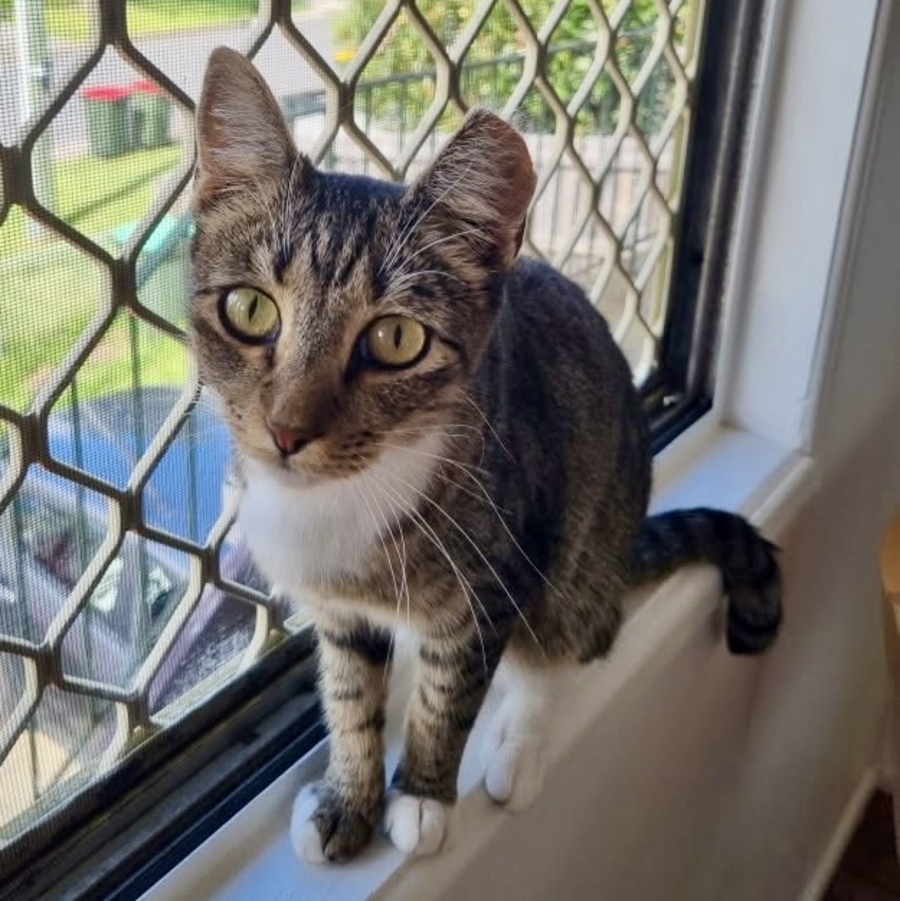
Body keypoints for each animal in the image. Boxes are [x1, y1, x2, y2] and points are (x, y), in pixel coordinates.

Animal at [189, 46, 782, 864]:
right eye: (249, 309)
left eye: (396, 339)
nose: (285, 430)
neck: (342, 500)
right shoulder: (339, 611)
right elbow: (348, 690)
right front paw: (348, 795)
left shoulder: (495, 581)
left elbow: (450, 695)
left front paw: (422, 796)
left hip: (577, 563)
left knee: (563, 651)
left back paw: (519, 751)